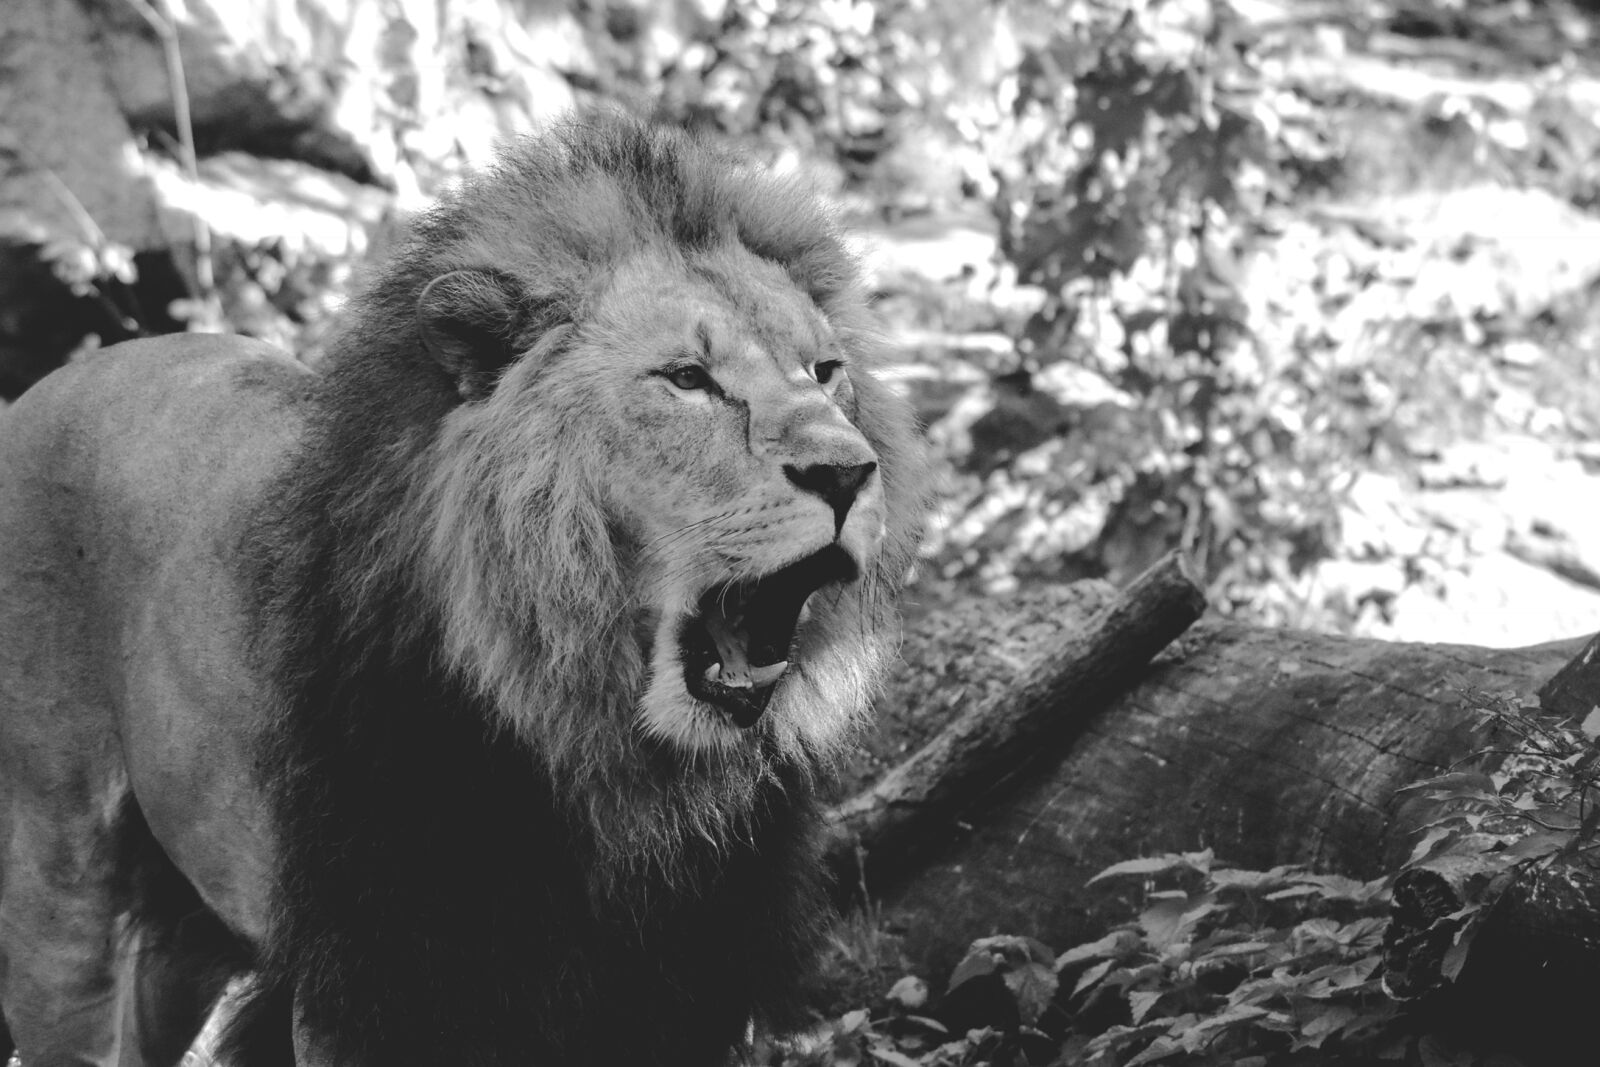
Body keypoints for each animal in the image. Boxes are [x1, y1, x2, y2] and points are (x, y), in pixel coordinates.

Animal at [0, 115, 926, 1066]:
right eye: (686, 379)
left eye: (826, 370)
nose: (849, 472)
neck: (629, 781)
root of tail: (53, 382)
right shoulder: (384, 989)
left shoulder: (681, 990)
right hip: (58, 894)